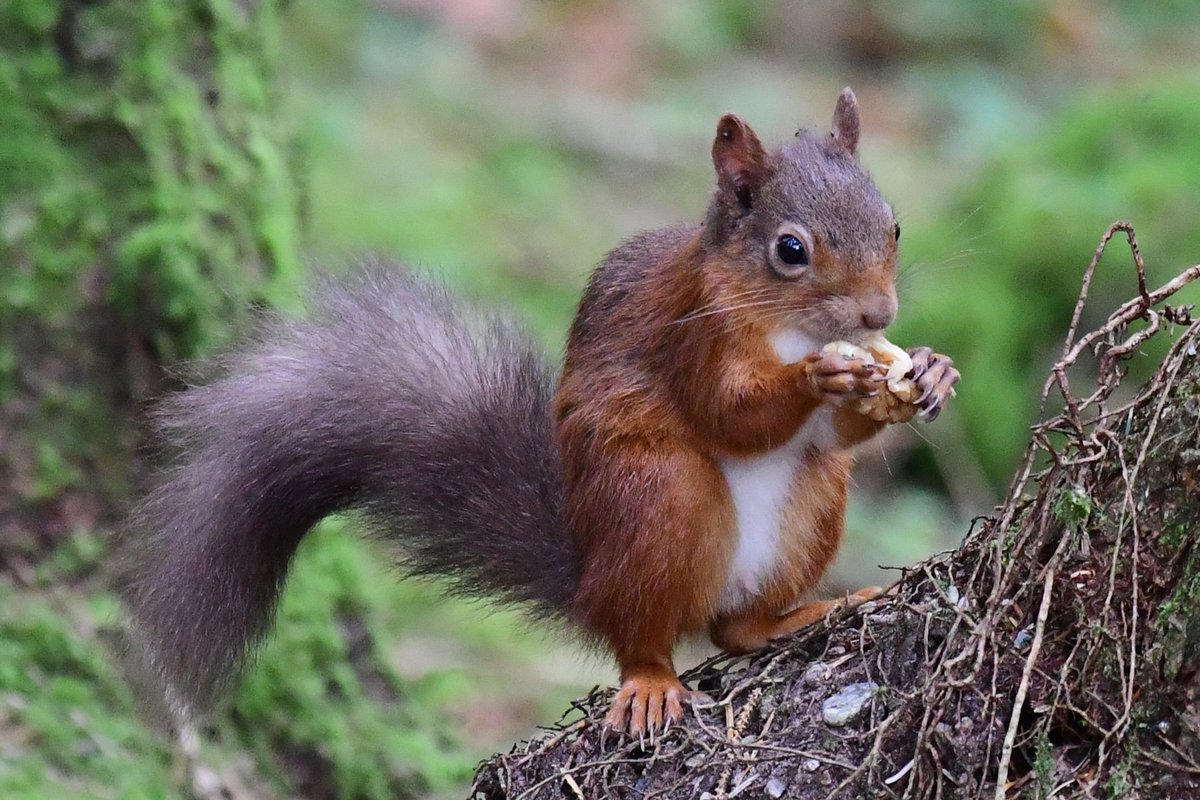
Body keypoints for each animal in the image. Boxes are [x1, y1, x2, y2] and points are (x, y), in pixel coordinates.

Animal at [119, 87, 959, 740]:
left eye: (893, 225)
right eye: (790, 249)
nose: (880, 312)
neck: (787, 324)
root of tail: (591, 580)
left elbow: (840, 432)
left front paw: (928, 372)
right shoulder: (687, 336)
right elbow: (729, 414)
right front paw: (821, 375)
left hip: (812, 502)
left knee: (733, 627)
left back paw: (802, 613)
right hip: (657, 498)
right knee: (643, 635)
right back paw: (652, 679)